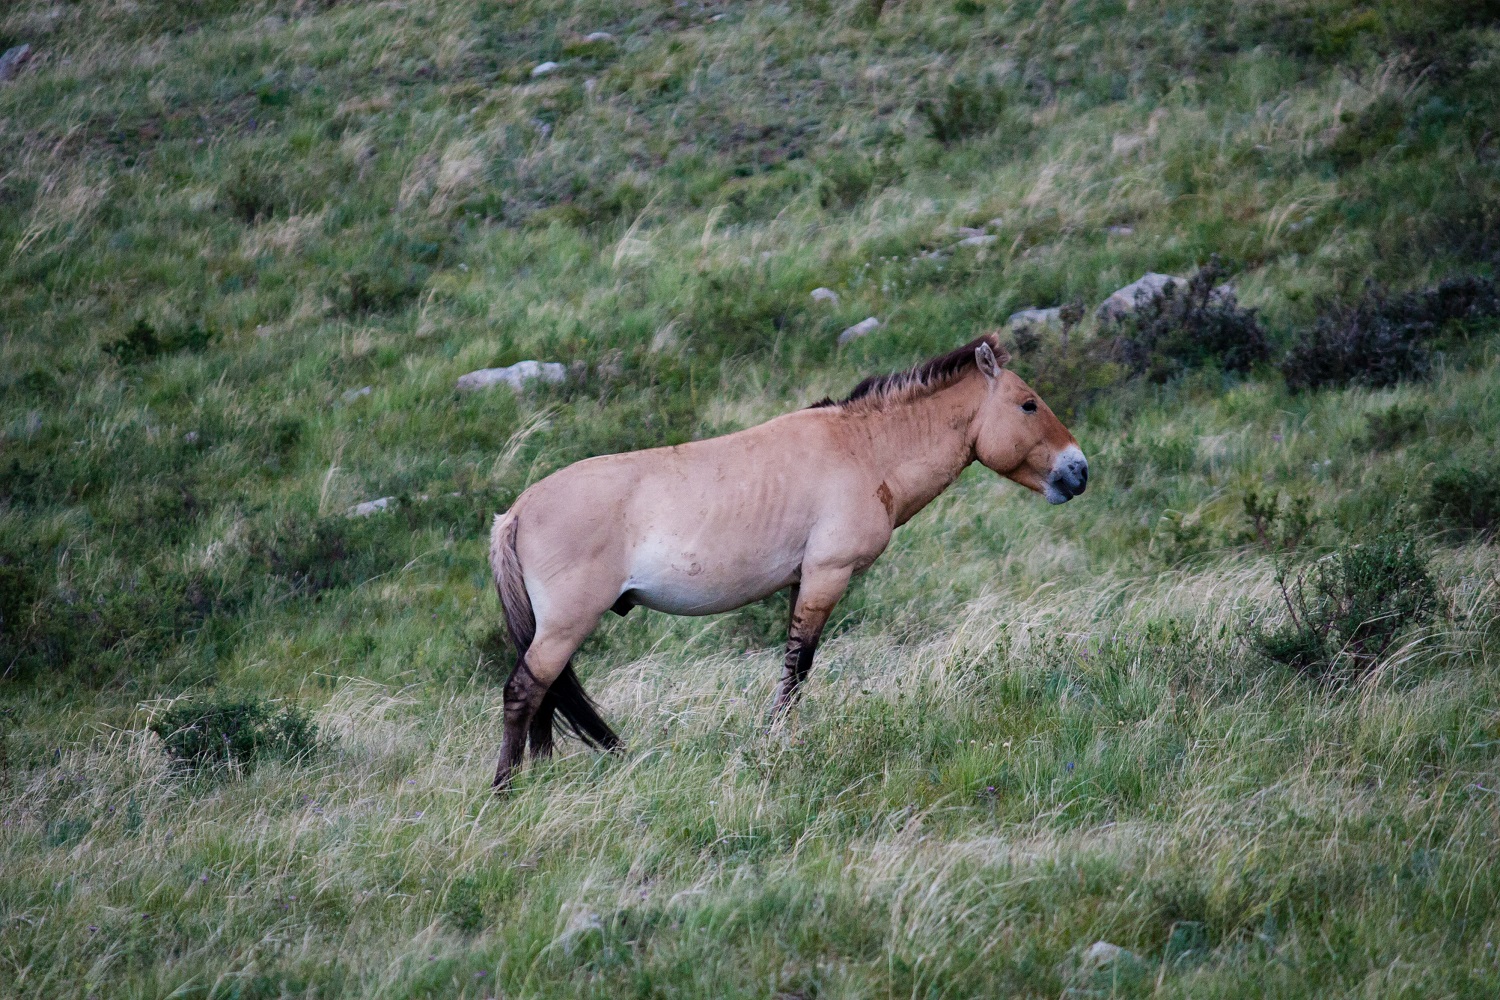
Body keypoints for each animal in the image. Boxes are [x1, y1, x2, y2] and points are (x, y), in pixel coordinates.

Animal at [492, 335, 1092, 791]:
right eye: (1029, 404)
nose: (1079, 470)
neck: (863, 449)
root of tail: (515, 512)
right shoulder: (827, 576)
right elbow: (798, 667)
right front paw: (778, 742)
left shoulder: (799, 583)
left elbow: (791, 665)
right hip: (566, 624)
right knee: (525, 692)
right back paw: (505, 791)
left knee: (546, 695)